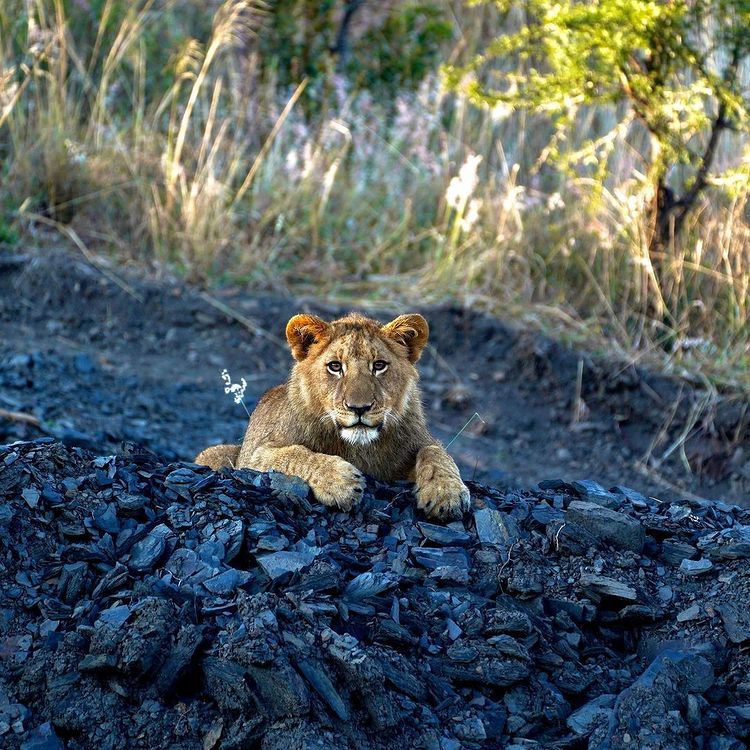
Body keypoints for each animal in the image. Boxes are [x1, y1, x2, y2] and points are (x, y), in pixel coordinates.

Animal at [194, 312, 471, 520]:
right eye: (335, 367)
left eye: (379, 366)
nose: (359, 407)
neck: (359, 448)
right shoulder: (255, 456)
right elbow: (295, 455)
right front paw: (340, 482)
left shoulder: (414, 447)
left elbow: (436, 452)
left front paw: (447, 493)